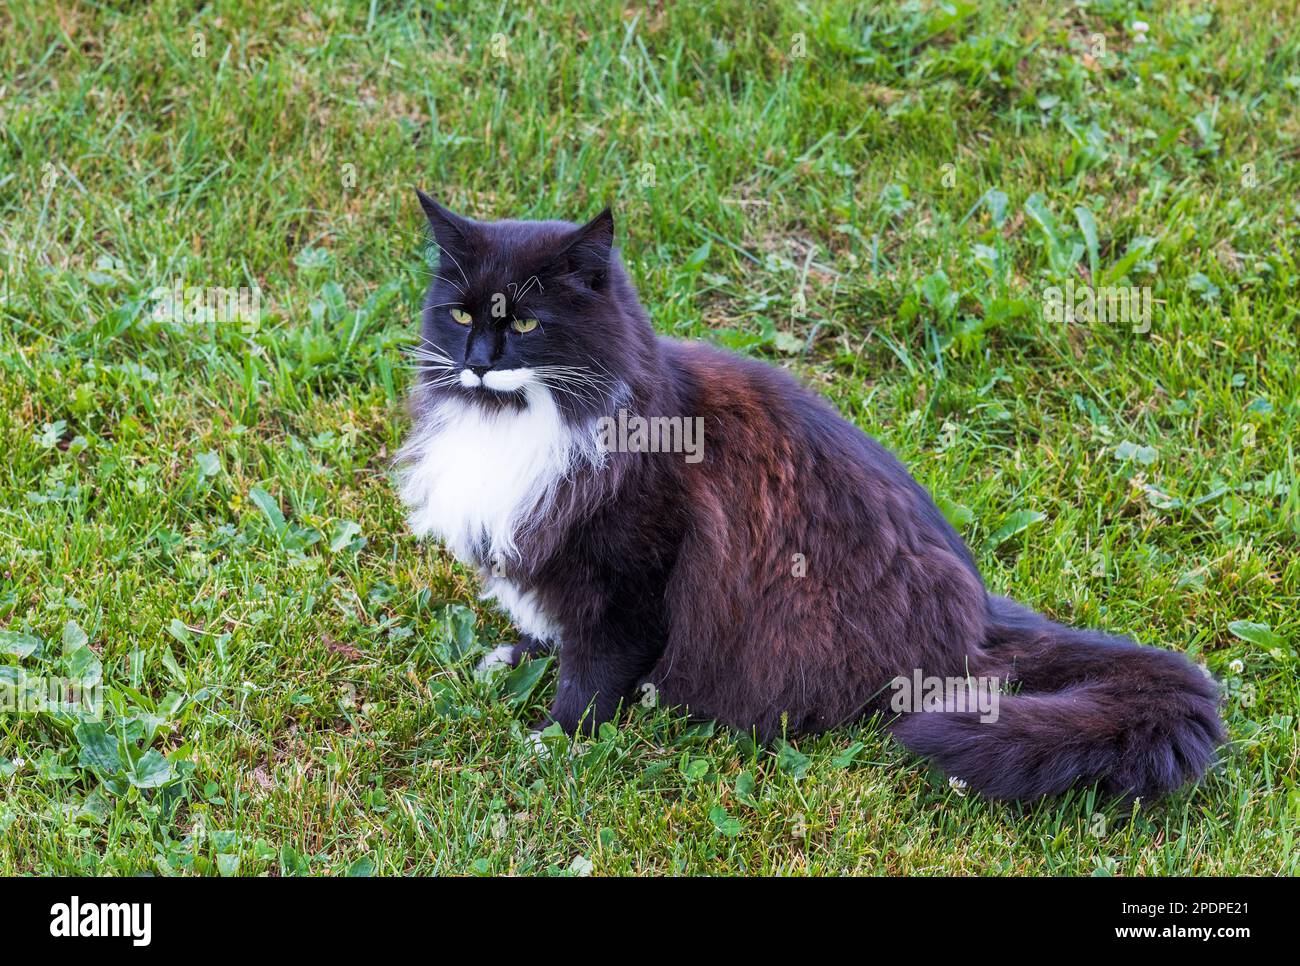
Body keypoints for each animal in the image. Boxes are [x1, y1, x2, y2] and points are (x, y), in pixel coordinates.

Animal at [392, 192, 1216, 806]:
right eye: (461, 315)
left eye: (527, 322)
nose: (477, 362)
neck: (518, 421)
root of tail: (982, 618)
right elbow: (559, 633)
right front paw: (517, 655)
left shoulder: (634, 577)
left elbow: (594, 674)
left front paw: (555, 740)